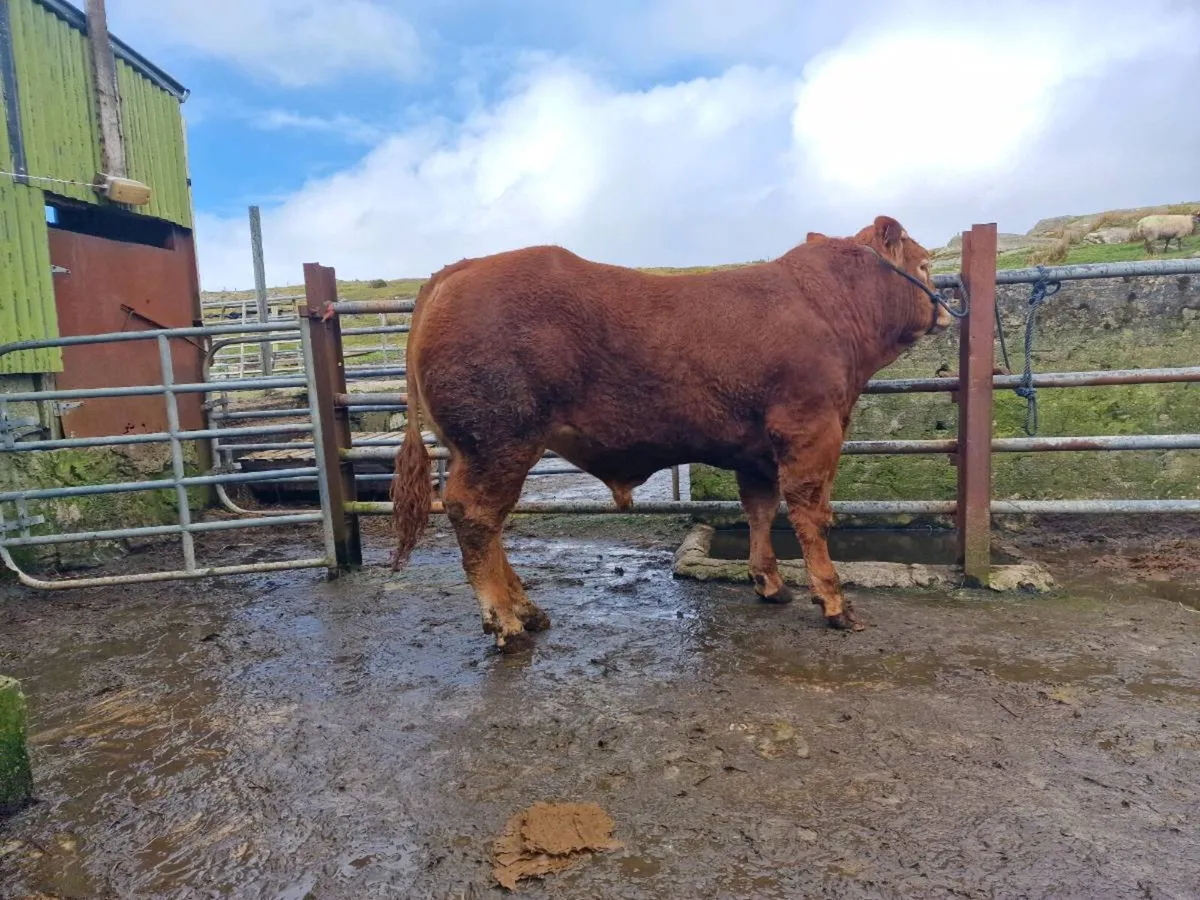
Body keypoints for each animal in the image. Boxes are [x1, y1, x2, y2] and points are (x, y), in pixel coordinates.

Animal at [389, 215, 953, 651]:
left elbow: (760, 510)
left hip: (487, 447)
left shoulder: (756, 450)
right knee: (476, 515)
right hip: (500, 439)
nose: (947, 309)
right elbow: (812, 515)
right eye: (925, 264)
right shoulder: (811, 429)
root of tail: (457, 270)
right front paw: (834, 603)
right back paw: (506, 622)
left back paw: (528, 611)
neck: (829, 309)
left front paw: (769, 583)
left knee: (489, 521)